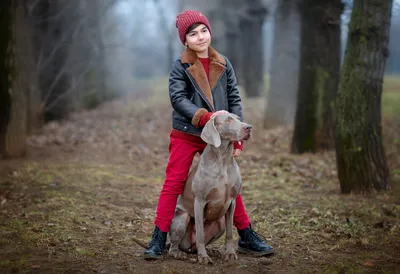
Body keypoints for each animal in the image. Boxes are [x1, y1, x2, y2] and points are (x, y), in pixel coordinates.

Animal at [167, 111, 252, 264]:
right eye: (228, 120)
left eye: (238, 118)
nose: (249, 127)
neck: (223, 159)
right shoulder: (199, 201)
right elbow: (200, 234)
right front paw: (203, 257)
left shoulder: (232, 202)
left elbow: (230, 232)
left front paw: (230, 253)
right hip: (181, 218)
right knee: (174, 246)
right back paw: (180, 253)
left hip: (220, 223)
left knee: (195, 246)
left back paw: (212, 250)